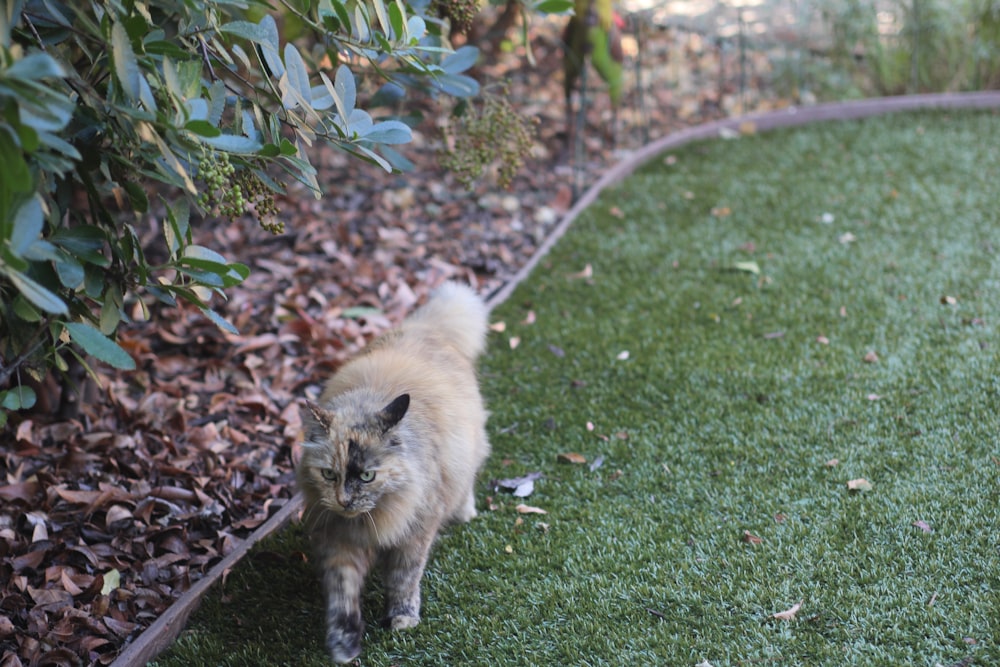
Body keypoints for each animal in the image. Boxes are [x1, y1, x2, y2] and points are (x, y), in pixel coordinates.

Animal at [296, 280, 492, 664]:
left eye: (367, 476)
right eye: (329, 475)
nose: (344, 501)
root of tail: (425, 327)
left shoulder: (415, 533)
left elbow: (404, 579)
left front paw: (402, 619)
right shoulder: (339, 541)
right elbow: (342, 592)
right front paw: (343, 642)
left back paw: (465, 512)